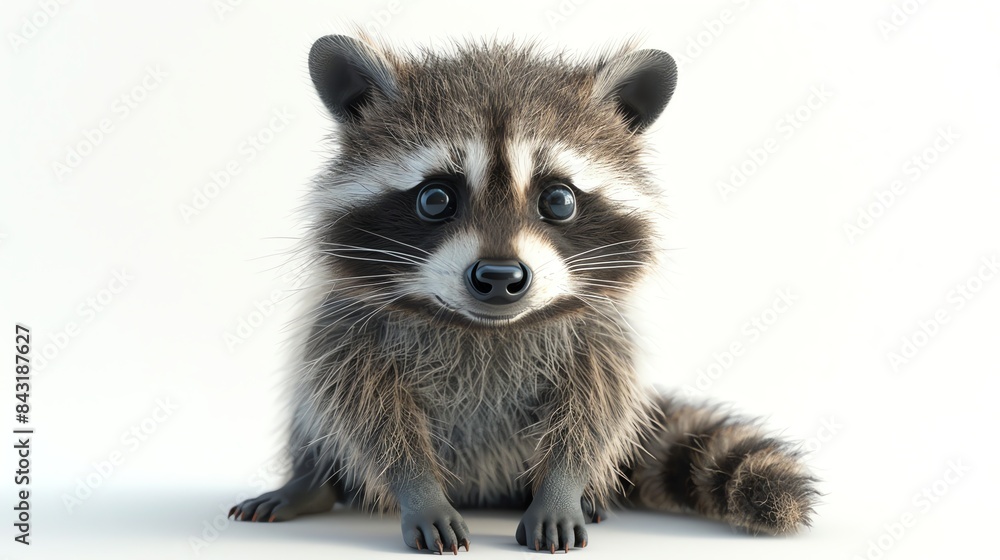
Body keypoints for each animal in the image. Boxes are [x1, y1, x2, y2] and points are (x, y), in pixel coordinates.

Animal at [230, 34, 818, 553]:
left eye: (558, 199)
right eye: (436, 198)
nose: (499, 277)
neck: (486, 327)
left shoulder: (598, 332)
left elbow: (595, 409)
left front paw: (561, 489)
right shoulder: (350, 328)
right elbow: (367, 412)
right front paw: (418, 491)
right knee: (314, 411)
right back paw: (310, 482)